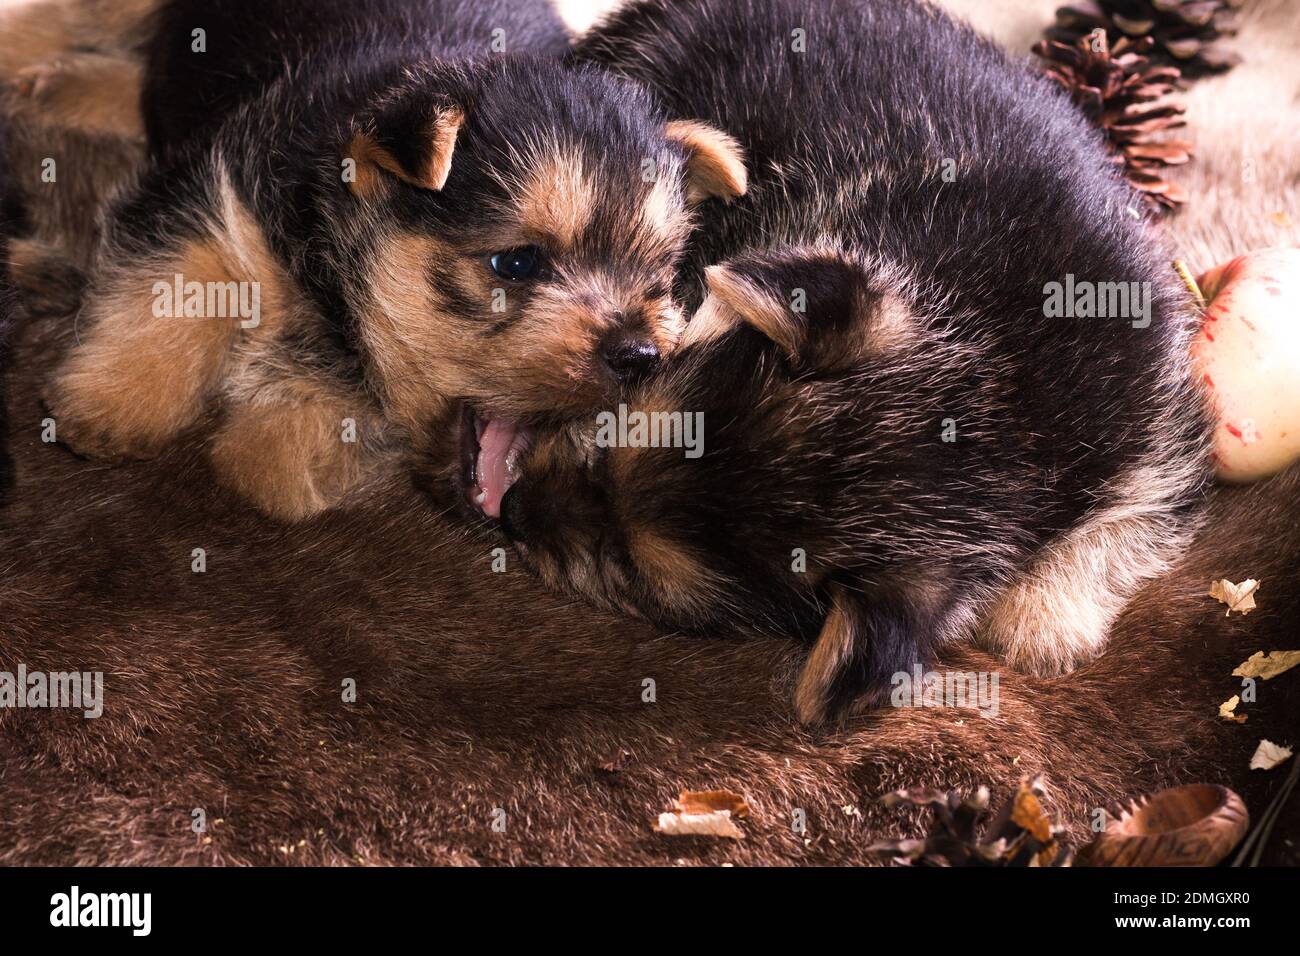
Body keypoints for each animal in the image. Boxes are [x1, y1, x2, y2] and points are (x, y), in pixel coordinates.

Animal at [10, 0, 748, 520]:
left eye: (659, 280)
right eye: (516, 264)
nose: (640, 355)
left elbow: (274, 461)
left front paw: (288, 399)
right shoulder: (215, 179)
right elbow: (182, 270)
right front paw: (113, 403)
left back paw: (65, 86)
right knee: (63, 16)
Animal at [501, 0, 1211, 723]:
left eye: (632, 572)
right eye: (607, 440)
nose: (509, 511)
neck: (1005, 386)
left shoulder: (1159, 434)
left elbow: (1127, 520)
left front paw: (1041, 617)